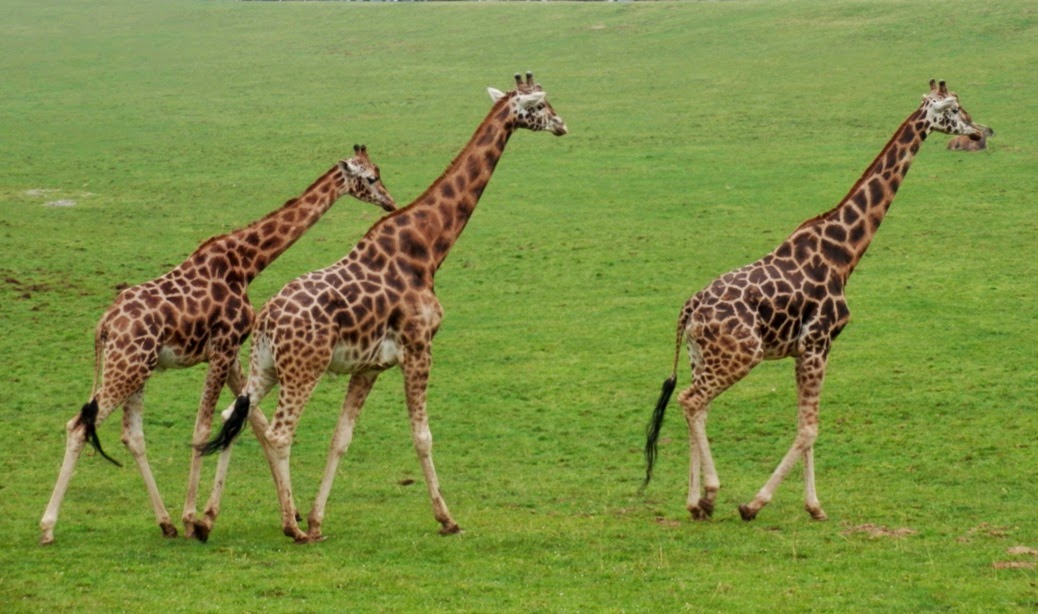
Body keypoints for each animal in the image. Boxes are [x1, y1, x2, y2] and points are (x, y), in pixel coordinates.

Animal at [39, 146, 392, 543]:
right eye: (371, 178)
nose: (390, 202)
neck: (247, 263)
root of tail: (103, 326)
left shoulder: (232, 352)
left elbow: (252, 422)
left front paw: (290, 515)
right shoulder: (223, 347)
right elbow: (205, 428)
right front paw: (195, 519)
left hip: (137, 369)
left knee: (131, 435)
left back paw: (165, 522)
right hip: (125, 368)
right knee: (79, 426)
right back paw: (48, 527)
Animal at [195, 72, 568, 543]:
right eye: (539, 105)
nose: (562, 125)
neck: (428, 246)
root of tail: (266, 323)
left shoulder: (369, 365)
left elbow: (341, 438)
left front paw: (318, 519)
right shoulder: (419, 347)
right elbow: (423, 435)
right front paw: (447, 519)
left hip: (263, 367)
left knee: (233, 417)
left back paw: (206, 520)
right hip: (303, 370)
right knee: (279, 434)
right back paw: (289, 526)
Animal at [643, 80, 984, 522]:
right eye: (955, 109)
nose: (978, 130)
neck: (844, 253)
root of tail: (688, 309)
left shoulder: (804, 348)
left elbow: (803, 425)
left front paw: (814, 506)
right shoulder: (817, 342)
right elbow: (809, 428)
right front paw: (755, 504)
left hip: (701, 356)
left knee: (698, 406)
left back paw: (694, 501)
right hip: (742, 354)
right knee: (690, 400)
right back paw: (712, 494)